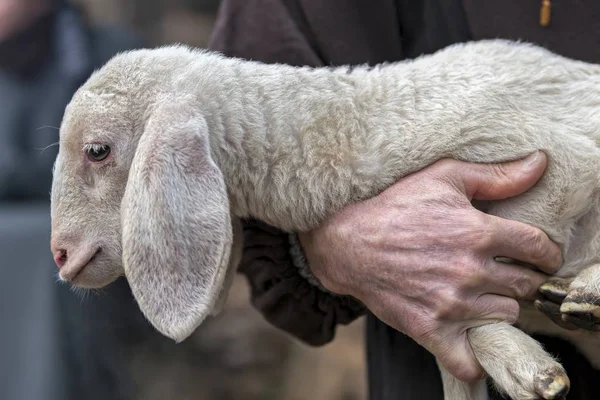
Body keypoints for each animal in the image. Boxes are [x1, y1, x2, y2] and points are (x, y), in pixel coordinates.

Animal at [49, 39, 600, 400]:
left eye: (97, 150)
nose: (60, 254)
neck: (354, 123)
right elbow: (457, 350)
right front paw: (518, 362)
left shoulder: (552, 159)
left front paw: (526, 365)